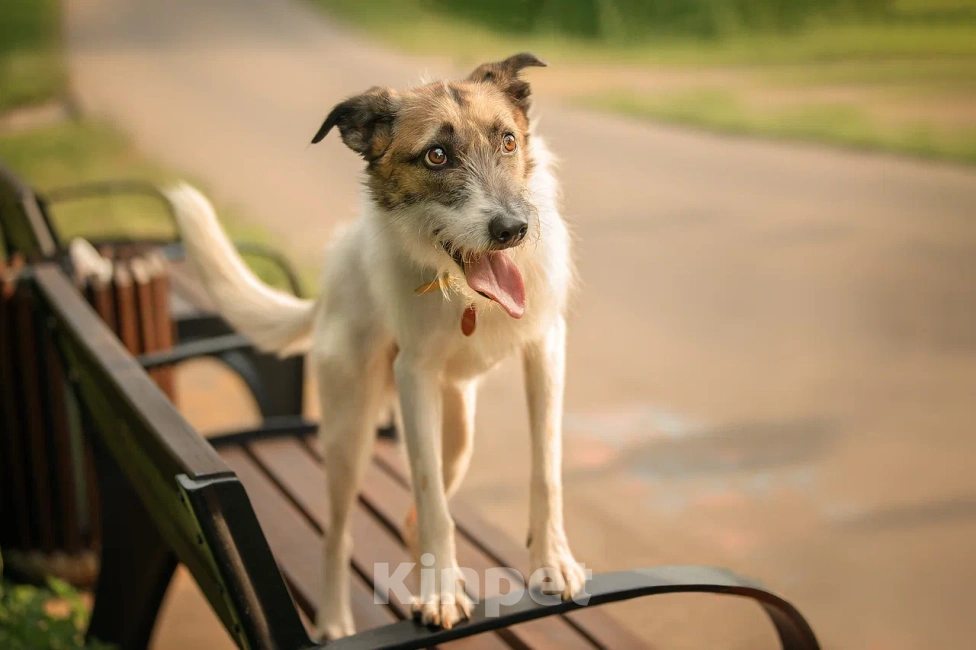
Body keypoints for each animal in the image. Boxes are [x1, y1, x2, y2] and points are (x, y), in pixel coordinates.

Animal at [165, 52, 584, 636]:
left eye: (507, 141)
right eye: (436, 155)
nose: (512, 229)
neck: (465, 297)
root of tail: (329, 285)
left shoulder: (546, 348)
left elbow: (546, 471)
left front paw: (551, 562)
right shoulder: (413, 379)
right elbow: (430, 497)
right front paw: (438, 592)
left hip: (458, 434)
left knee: (417, 510)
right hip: (350, 433)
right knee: (338, 533)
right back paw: (335, 618)